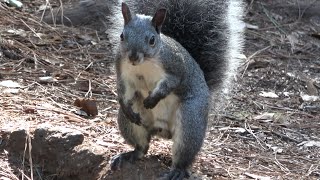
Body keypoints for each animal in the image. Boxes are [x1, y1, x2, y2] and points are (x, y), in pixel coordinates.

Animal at [110, 0, 245, 179]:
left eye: (152, 40)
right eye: (122, 36)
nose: (133, 56)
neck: (144, 63)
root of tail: (162, 130)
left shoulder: (176, 68)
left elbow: (169, 84)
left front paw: (153, 99)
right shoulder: (123, 71)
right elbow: (123, 90)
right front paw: (126, 106)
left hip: (190, 120)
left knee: (183, 153)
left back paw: (177, 171)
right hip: (132, 124)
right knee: (142, 147)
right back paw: (129, 155)